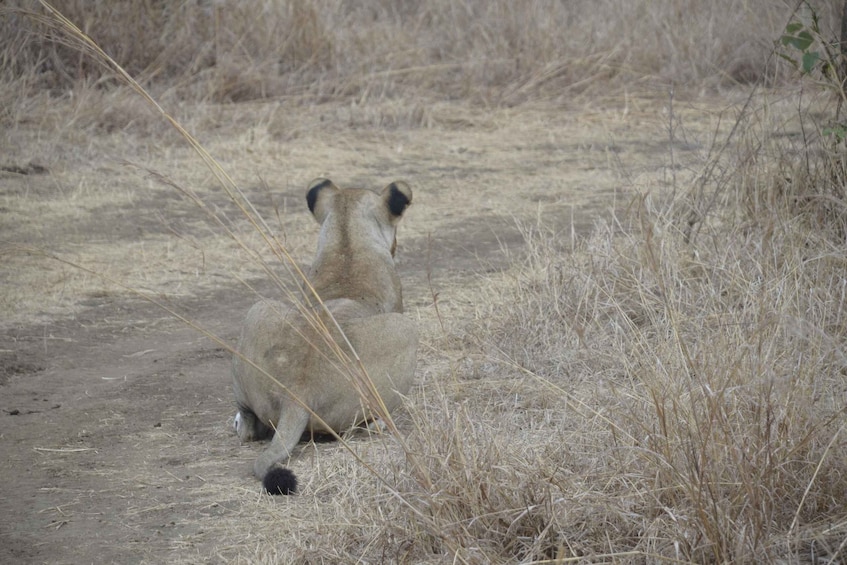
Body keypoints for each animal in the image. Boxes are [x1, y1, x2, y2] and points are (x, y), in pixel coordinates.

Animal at [232, 177, 418, 494]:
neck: (347, 242)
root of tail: (297, 393)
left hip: (257, 309)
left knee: (248, 425)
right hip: (405, 331)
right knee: (365, 425)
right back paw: (383, 422)